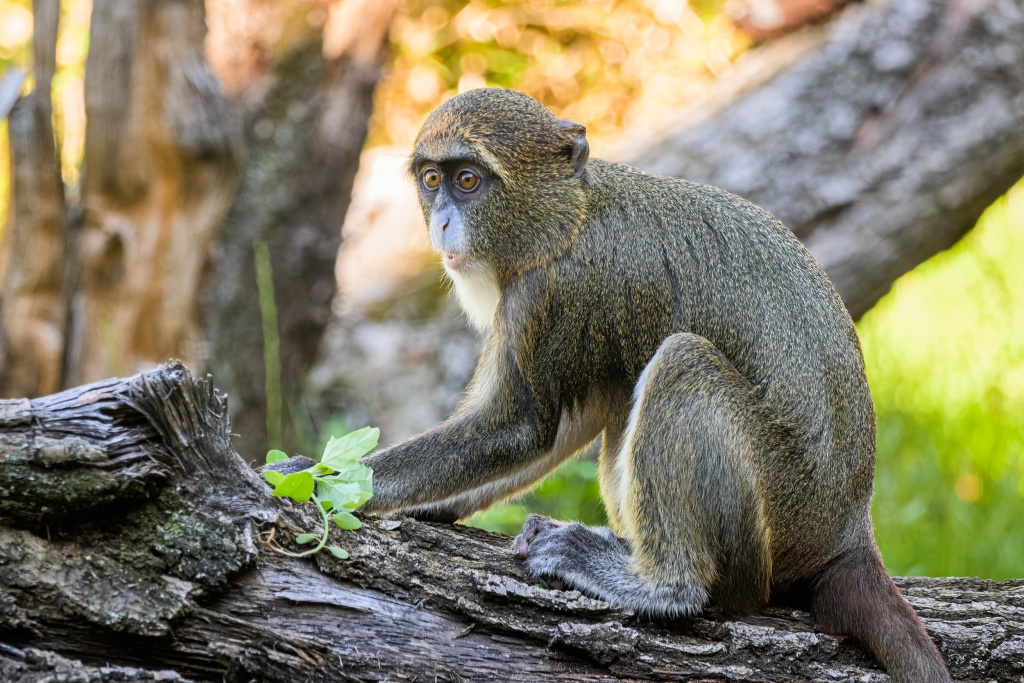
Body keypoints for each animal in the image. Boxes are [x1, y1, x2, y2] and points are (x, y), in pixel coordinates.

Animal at [358, 88, 950, 679]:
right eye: (431, 180)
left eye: (468, 181)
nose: (441, 224)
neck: (570, 215)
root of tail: (849, 538)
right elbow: (561, 427)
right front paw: (429, 505)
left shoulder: (551, 290)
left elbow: (517, 428)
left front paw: (340, 479)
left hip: (781, 513)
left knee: (682, 364)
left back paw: (662, 585)